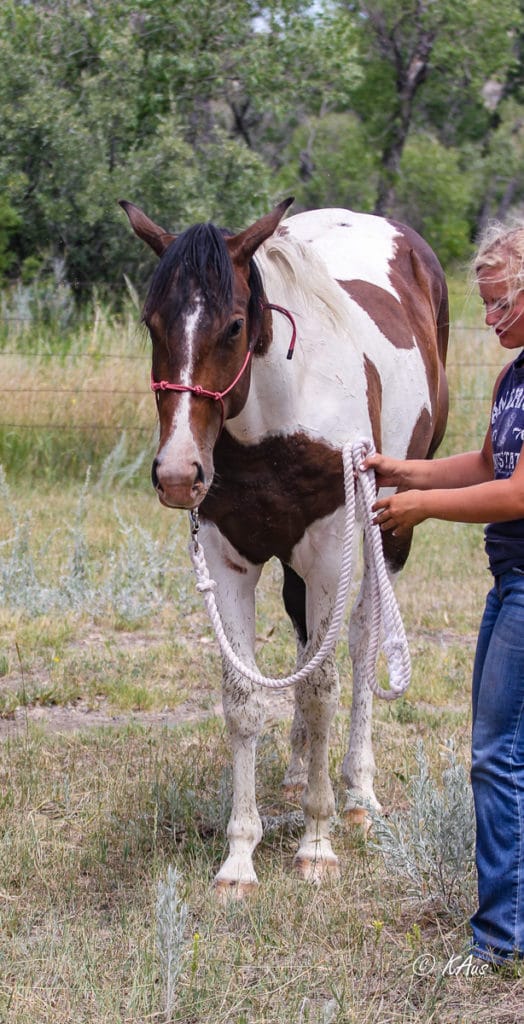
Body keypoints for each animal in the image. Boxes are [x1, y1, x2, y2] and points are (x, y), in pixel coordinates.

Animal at [120, 197, 448, 897]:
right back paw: (300, 773)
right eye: (152, 324)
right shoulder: (229, 557)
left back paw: (357, 794)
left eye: (235, 326)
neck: (272, 424)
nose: (178, 474)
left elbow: (322, 689)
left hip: (388, 532)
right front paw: (240, 856)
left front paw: (316, 843)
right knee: (303, 637)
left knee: (361, 642)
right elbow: (245, 700)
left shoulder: (329, 551)